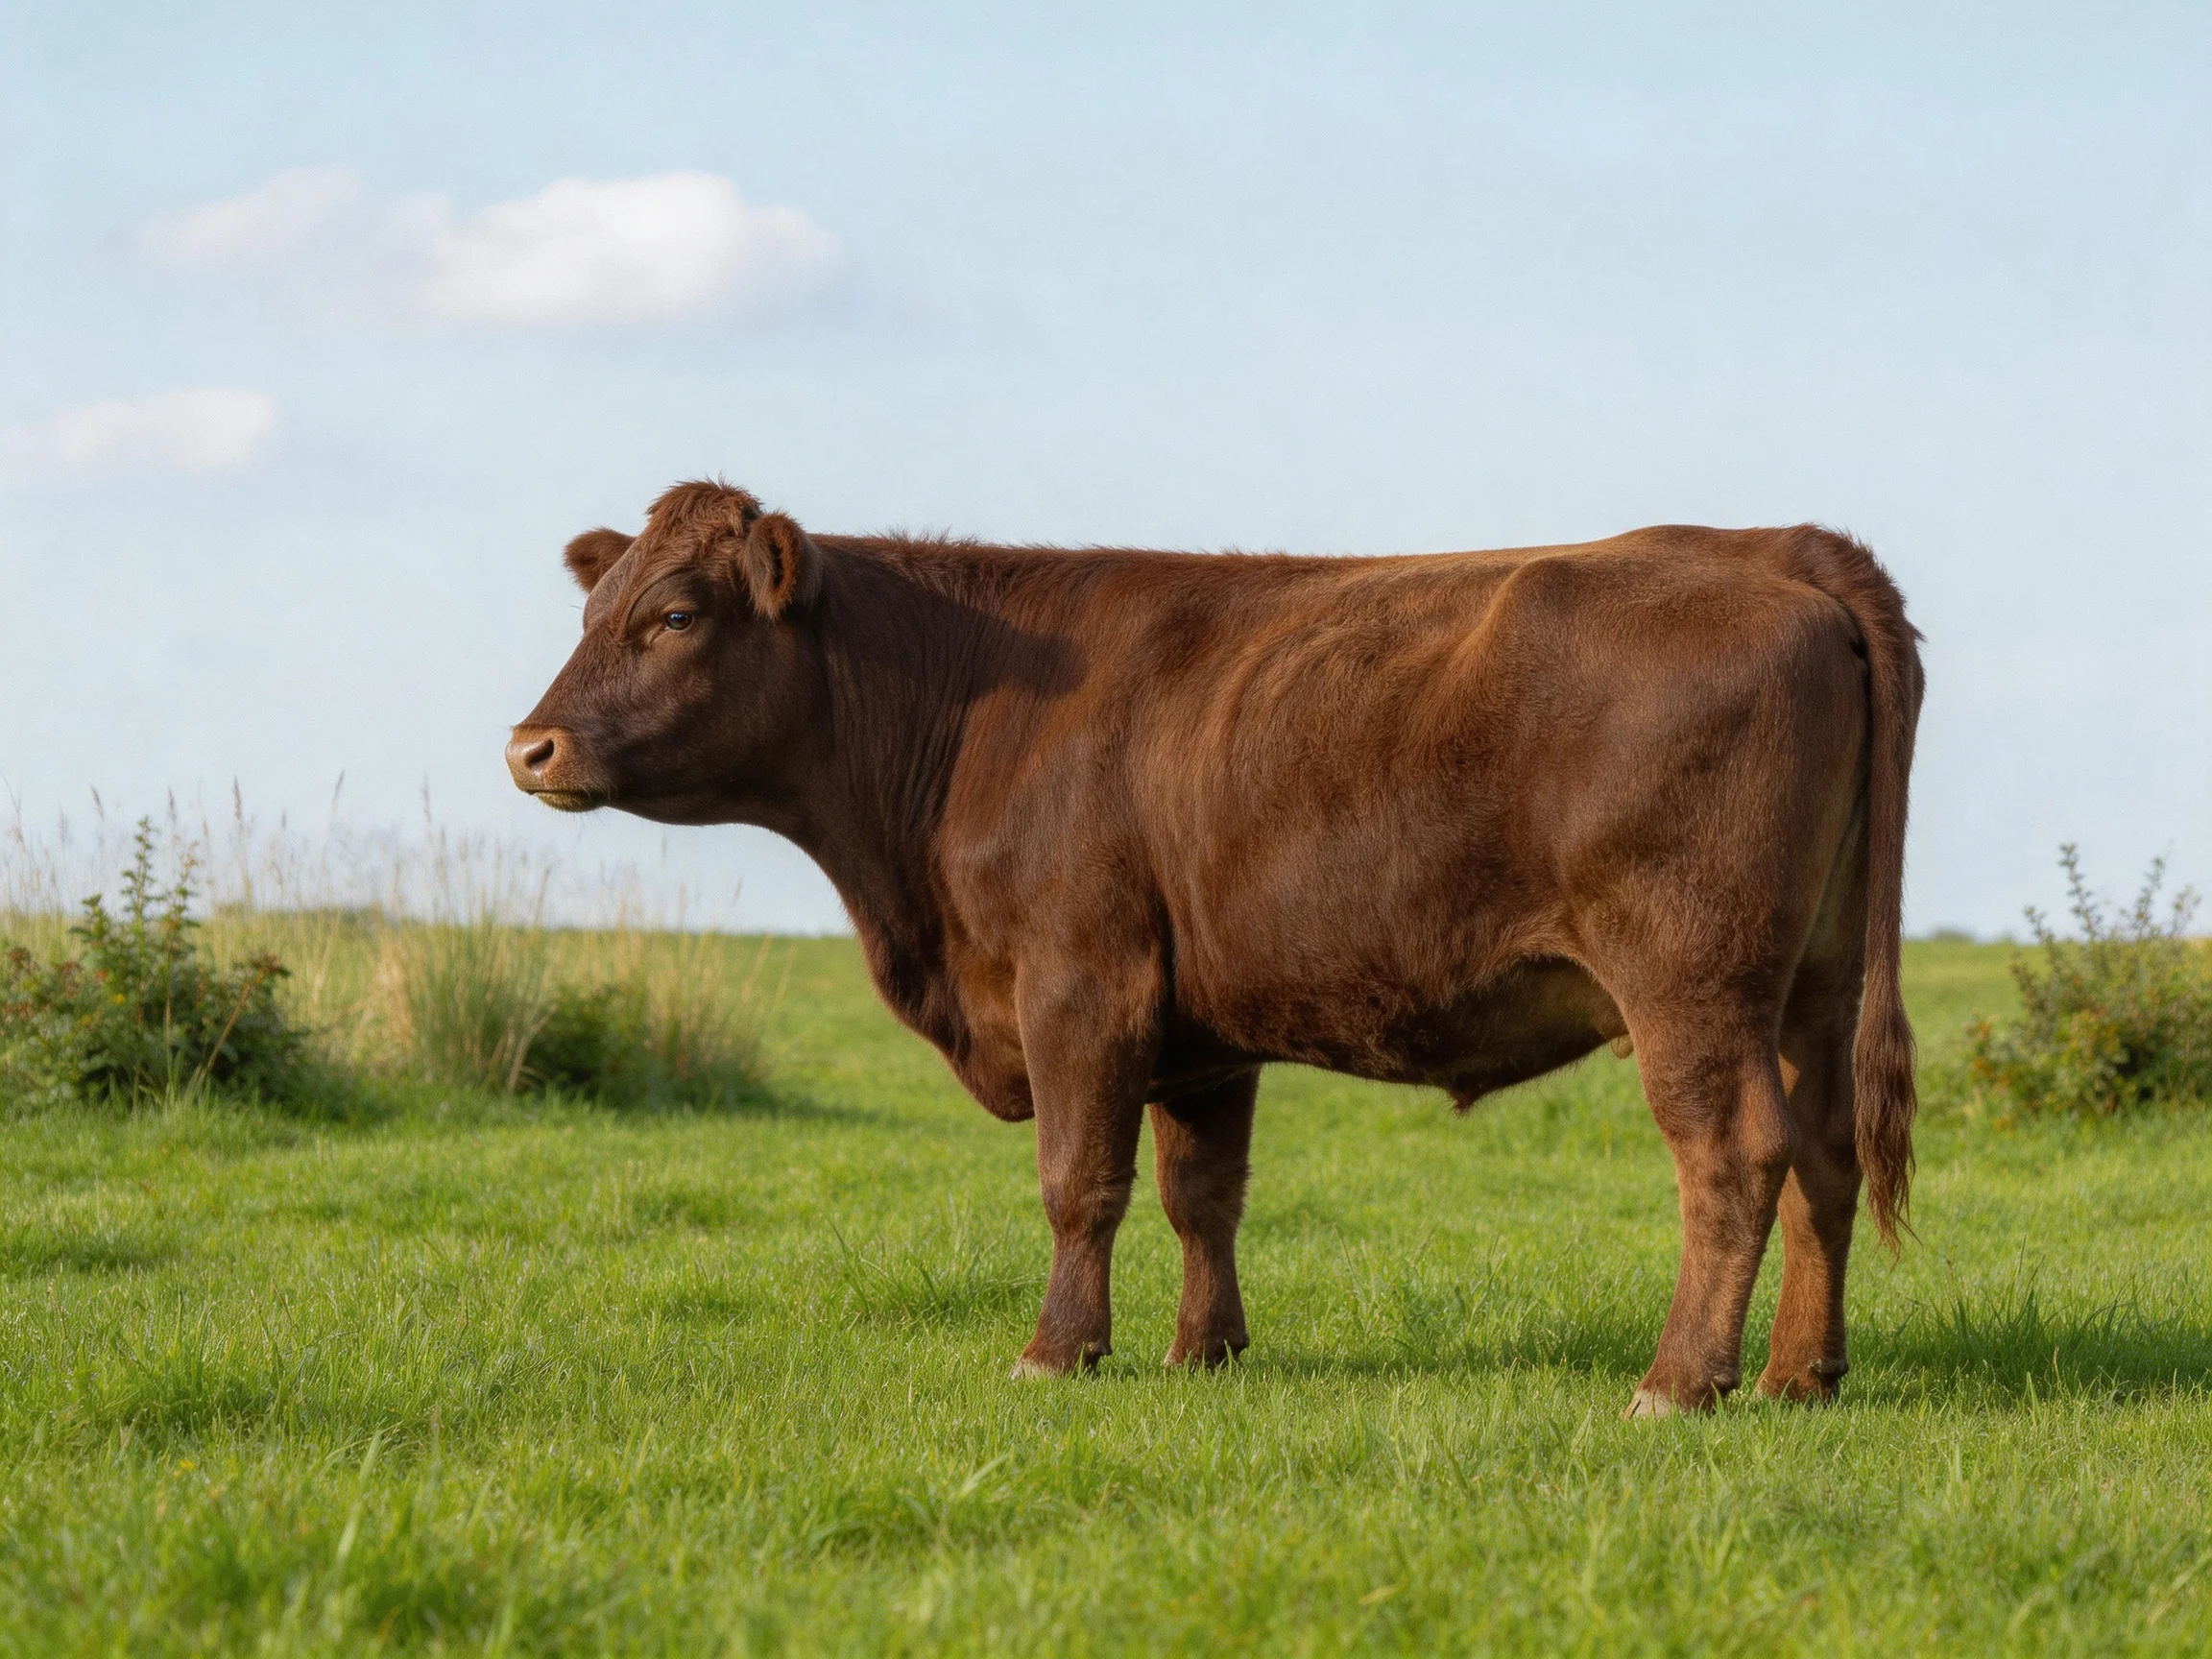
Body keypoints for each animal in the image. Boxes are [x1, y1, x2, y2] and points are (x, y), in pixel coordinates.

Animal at [507, 480, 1923, 1415]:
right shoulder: (1199, 1029)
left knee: (1734, 1155)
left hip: (1691, 977)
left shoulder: (1079, 984)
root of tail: (1783, 549)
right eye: (594, 608)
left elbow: (1080, 1182)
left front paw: (1057, 1353)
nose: (531, 746)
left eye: (676, 615)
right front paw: (1204, 1353)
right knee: (1826, 1158)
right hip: (1815, 984)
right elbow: (1204, 1192)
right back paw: (1801, 1375)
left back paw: (1681, 1382)